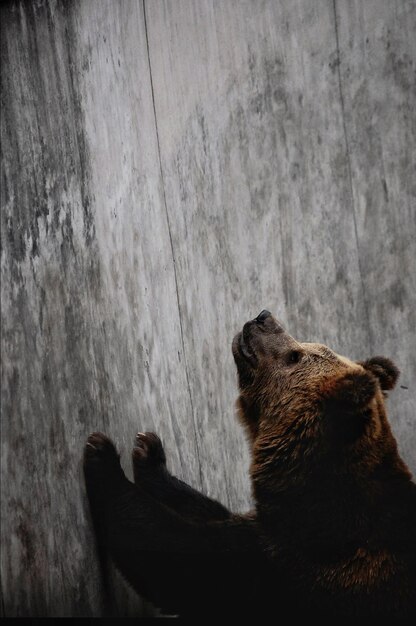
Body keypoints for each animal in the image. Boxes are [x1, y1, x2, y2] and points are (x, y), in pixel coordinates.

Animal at [83, 310, 414, 616]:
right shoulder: (270, 524)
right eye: (304, 344)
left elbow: (177, 556)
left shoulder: (295, 565)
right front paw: (148, 453)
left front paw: (103, 454)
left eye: (295, 355)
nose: (262, 318)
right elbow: (206, 510)